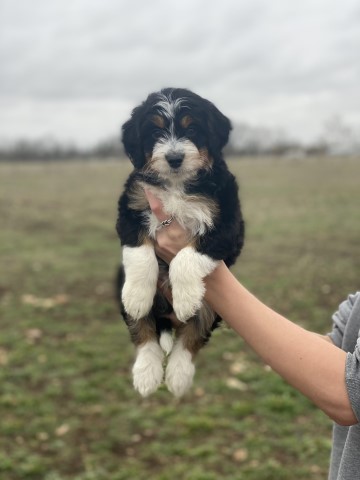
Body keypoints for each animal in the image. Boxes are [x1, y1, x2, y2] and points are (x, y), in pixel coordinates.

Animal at [116, 88, 245, 400]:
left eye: (193, 129)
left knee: (191, 336)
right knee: (143, 331)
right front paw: (137, 296)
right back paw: (147, 374)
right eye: (155, 131)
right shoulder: (131, 205)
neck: (176, 184)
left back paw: (178, 376)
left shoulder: (228, 225)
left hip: (213, 305)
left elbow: (188, 255)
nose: (174, 158)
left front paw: (186, 299)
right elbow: (139, 253)